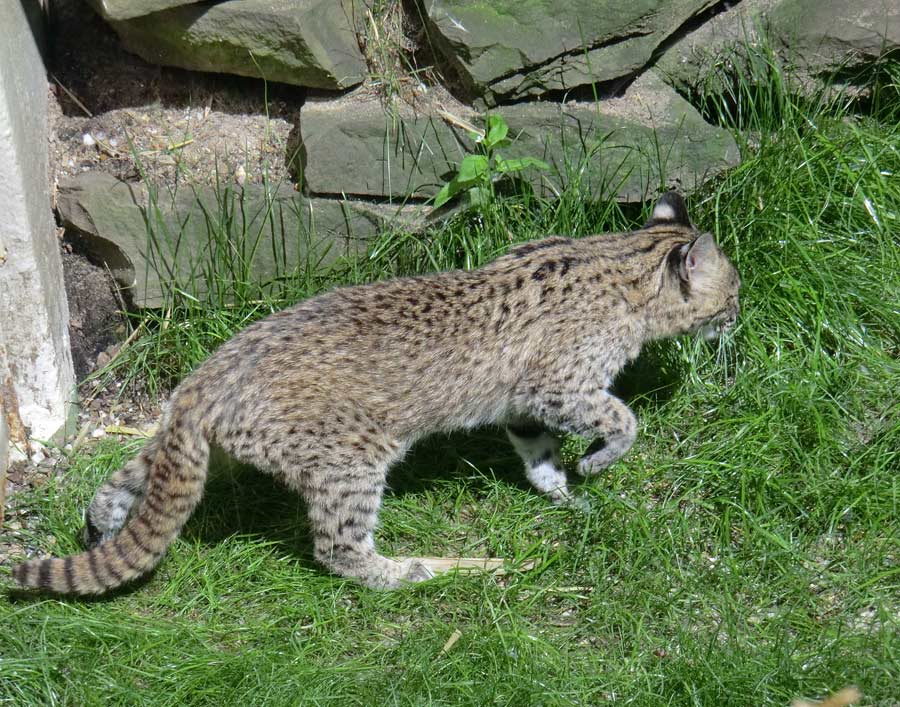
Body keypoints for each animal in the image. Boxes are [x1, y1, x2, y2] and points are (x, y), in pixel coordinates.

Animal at [12, 191, 740, 596]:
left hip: (189, 449)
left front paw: (563, 493)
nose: (739, 316)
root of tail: (204, 380)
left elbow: (538, 455)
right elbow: (623, 417)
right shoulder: (557, 386)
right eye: (731, 293)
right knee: (340, 551)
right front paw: (597, 461)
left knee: (120, 485)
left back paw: (101, 529)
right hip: (353, 458)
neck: (625, 260)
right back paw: (432, 571)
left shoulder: (526, 405)